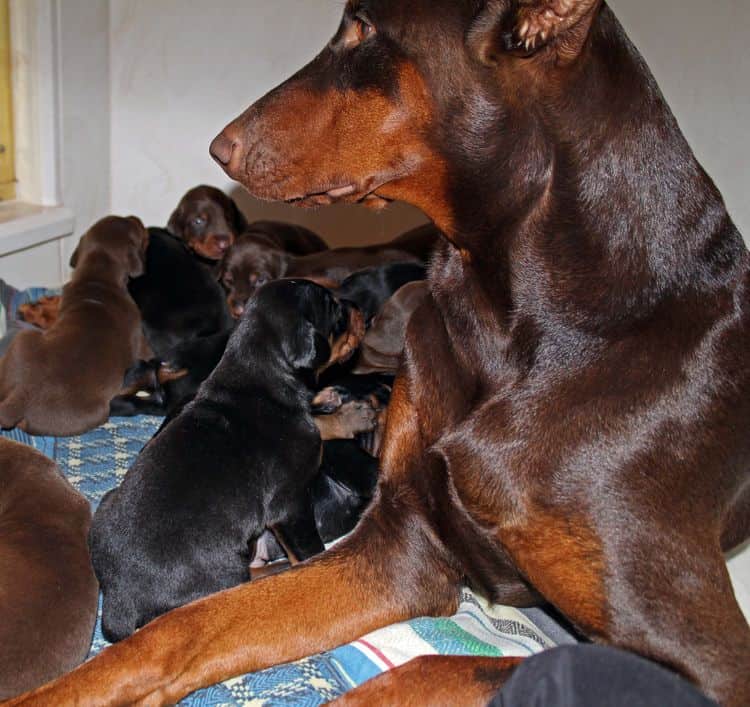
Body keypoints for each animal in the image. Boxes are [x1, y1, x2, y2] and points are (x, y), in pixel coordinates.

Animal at [0, 216, 151, 436]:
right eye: (136, 227)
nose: (136, 217)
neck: (97, 277)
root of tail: (20, 396)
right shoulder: (140, 340)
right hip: (97, 413)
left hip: (22, 338)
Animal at [91, 280, 370, 644]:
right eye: (334, 309)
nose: (361, 309)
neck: (258, 373)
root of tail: (118, 599)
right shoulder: (291, 503)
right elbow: (311, 552)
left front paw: (343, 411)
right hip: (224, 566)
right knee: (239, 586)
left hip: (106, 503)